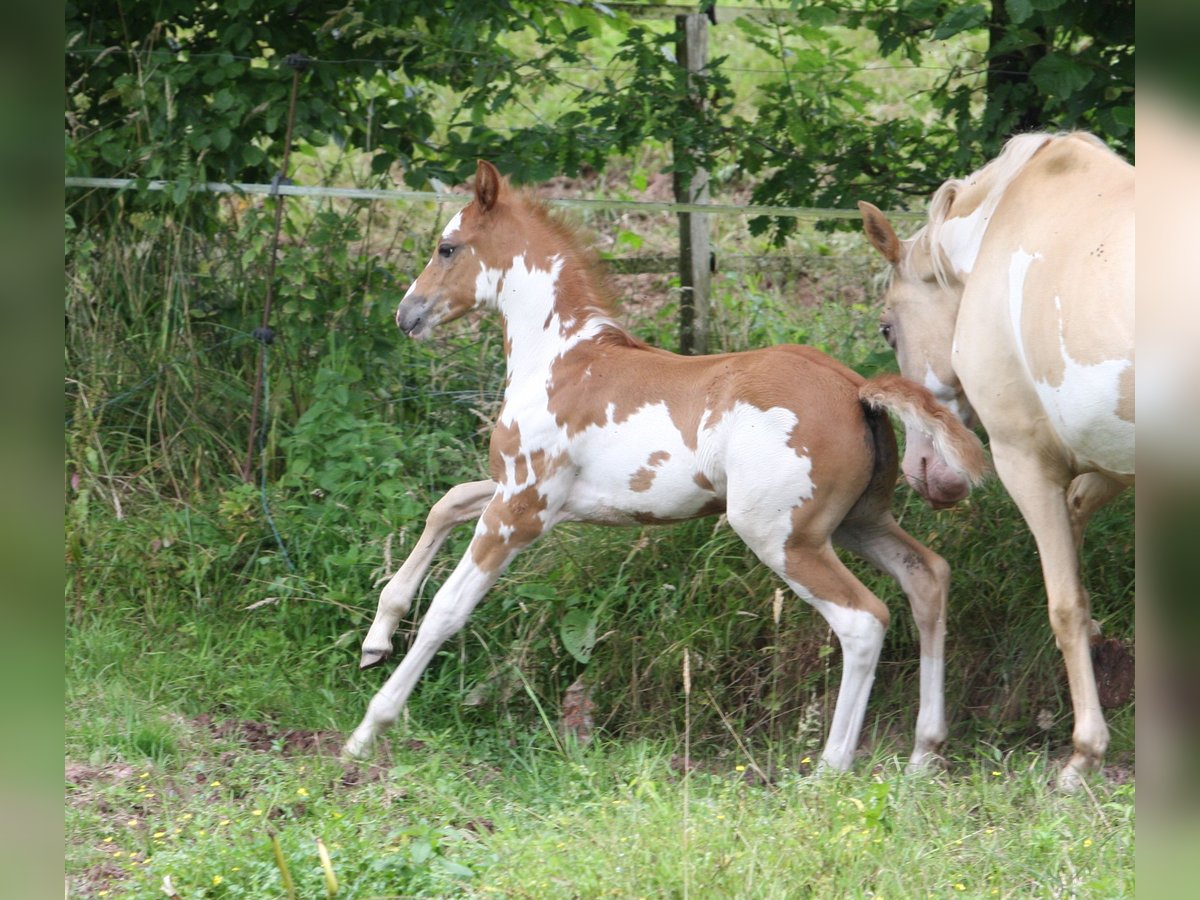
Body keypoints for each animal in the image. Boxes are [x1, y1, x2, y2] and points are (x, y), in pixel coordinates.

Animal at [345, 158, 984, 772]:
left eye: (447, 247)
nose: (407, 314)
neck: (561, 357)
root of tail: (854, 388)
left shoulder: (520, 510)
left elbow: (447, 610)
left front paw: (368, 729)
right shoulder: (532, 496)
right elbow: (447, 502)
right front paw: (376, 639)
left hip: (780, 535)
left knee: (864, 620)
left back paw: (830, 766)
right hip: (858, 522)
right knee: (927, 577)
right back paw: (923, 751)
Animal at [859, 130, 1128, 792]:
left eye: (887, 329)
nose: (924, 471)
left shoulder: (1025, 460)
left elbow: (1064, 604)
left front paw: (1084, 754)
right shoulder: (1111, 458)